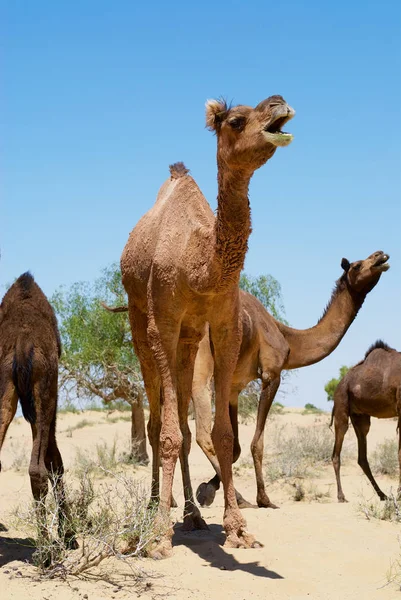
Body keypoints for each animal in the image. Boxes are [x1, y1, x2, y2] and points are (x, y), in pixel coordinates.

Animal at [0, 274, 76, 552]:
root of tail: (22, 343)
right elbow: (55, 460)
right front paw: (69, 535)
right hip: (44, 387)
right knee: (38, 470)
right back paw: (45, 551)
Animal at [119, 95, 294, 556]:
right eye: (236, 121)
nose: (280, 104)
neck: (196, 264)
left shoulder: (223, 322)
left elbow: (223, 435)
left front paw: (237, 529)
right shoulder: (162, 321)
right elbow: (167, 433)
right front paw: (158, 535)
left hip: (190, 340)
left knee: (181, 420)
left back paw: (192, 515)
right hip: (139, 323)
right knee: (156, 420)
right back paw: (153, 509)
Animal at [192, 251, 390, 508]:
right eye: (356, 266)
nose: (380, 256)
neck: (287, 337)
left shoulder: (235, 386)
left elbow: (233, 446)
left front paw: (207, 489)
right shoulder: (271, 374)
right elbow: (255, 442)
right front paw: (264, 498)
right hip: (203, 362)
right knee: (202, 434)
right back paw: (238, 498)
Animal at [330, 340, 398, 504]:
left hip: (360, 417)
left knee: (362, 457)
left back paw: (383, 495)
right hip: (341, 405)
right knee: (336, 452)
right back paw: (341, 496)